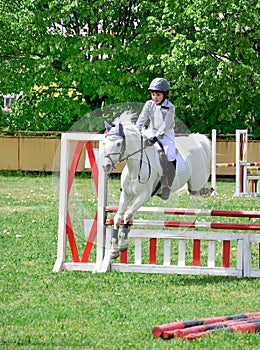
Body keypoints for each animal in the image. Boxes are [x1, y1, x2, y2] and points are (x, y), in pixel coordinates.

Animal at [100, 113, 212, 258]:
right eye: (104, 143)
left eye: (119, 144)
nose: (105, 166)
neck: (134, 168)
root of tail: (197, 141)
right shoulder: (126, 195)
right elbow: (117, 217)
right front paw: (114, 250)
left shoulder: (143, 197)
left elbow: (127, 215)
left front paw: (123, 244)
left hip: (197, 183)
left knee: (199, 192)